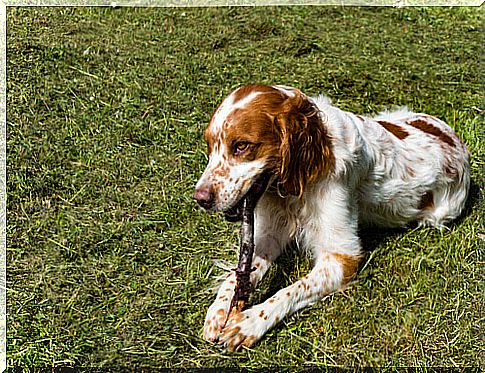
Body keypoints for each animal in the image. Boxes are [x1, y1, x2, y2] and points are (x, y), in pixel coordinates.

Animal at [192, 83, 468, 350]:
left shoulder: (342, 257)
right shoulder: (268, 236)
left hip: (442, 214)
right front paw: (219, 310)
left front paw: (248, 323)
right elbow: (238, 274)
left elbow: (291, 290)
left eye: (241, 146)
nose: (200, 199)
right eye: (209, 146)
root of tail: (455, 139)